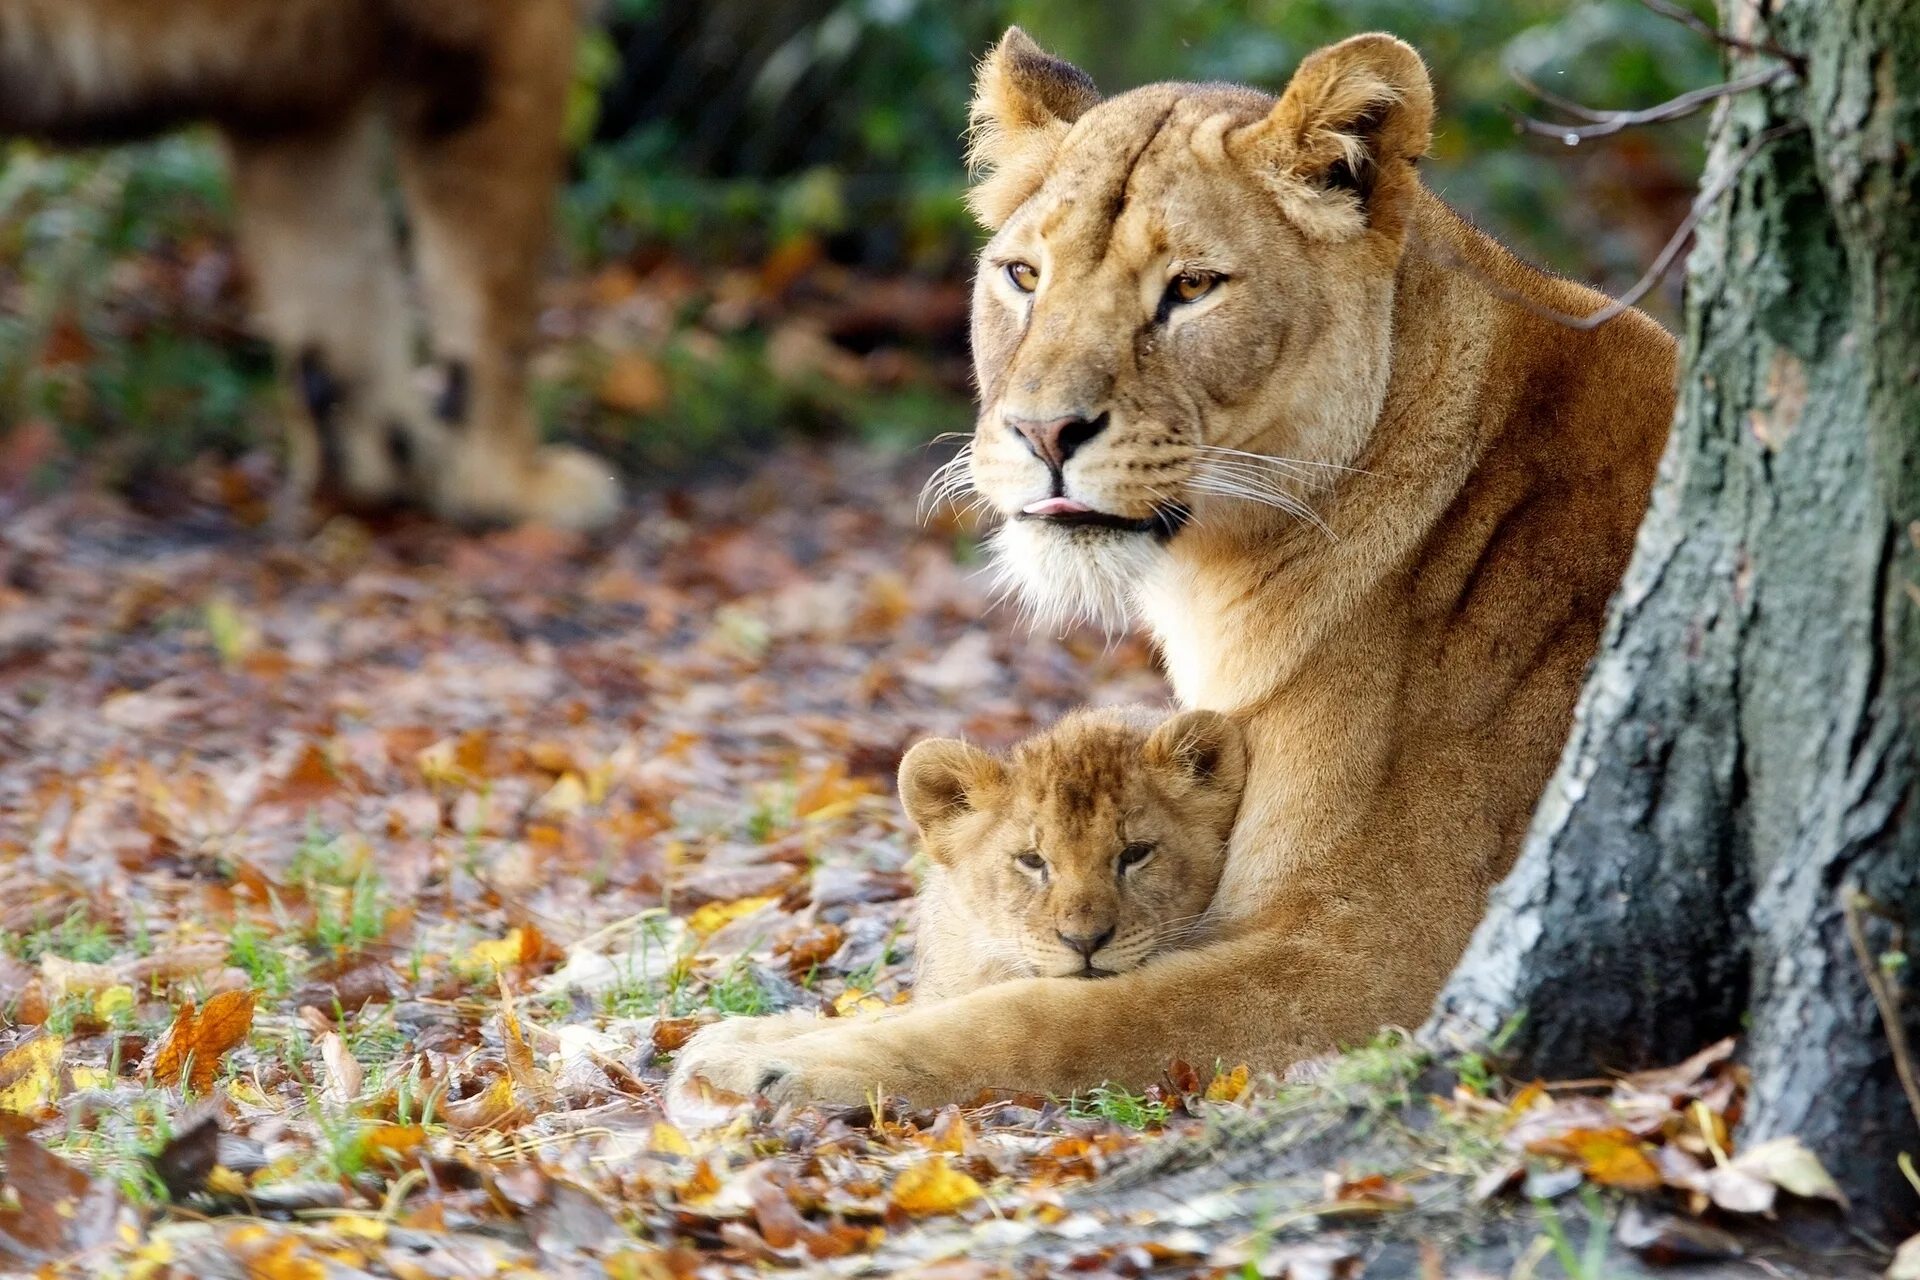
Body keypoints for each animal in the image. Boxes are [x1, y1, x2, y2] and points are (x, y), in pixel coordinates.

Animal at [0, 0, 614, 529]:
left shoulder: (292, 98)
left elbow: (337, 295)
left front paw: (378, 469)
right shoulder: (493, 28)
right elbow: (495, 297)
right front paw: (514, 485)